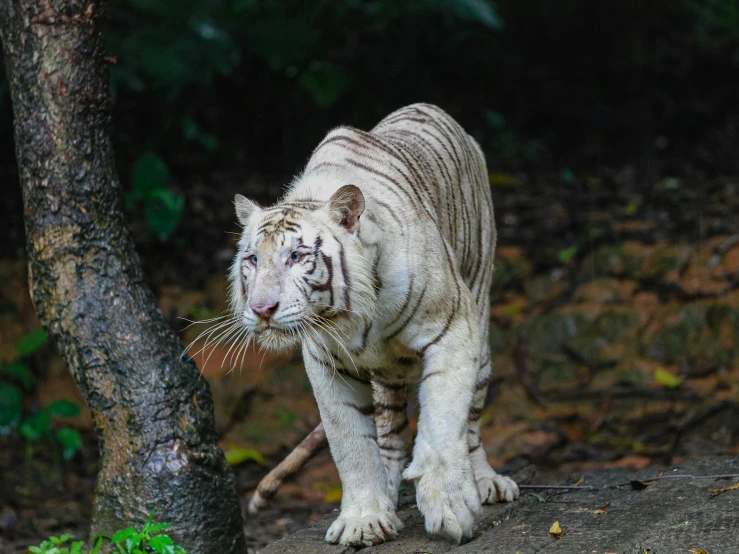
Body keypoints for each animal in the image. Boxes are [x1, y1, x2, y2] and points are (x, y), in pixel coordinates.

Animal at [228, 102, 516, 544]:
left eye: (296, 256)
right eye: (252, 260)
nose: (262, 309)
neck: (349, 316)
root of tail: (432, 108)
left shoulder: (453, 329)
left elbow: (442, 425)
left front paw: (450, 509)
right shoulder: (327, 365)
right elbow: (352, 446)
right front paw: (364, 520)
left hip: (480, 322)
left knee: (470, 422)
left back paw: (485, 481)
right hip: (386, 376)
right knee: (389, 434)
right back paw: (389, 495)